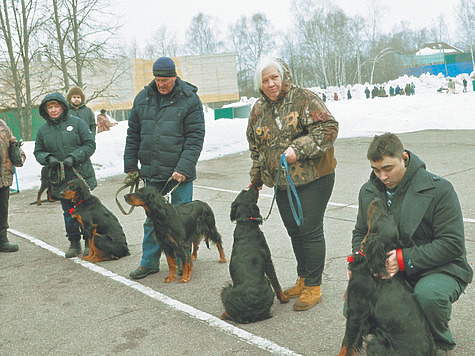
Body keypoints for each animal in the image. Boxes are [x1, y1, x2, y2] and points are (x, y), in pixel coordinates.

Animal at [220, 188, 290, 324]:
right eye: (251, 194)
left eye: (244, 192)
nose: (254, 187)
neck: (245, 224)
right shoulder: (268, 261)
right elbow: (276, 283)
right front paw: (284, 298)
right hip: (231, 288)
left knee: (225, 314)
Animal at [338, 197, 436, 356]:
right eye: (387, 214)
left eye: (382, 215)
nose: (377, 198)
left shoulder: (355, 312)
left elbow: (346, 343)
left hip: (376, 343)